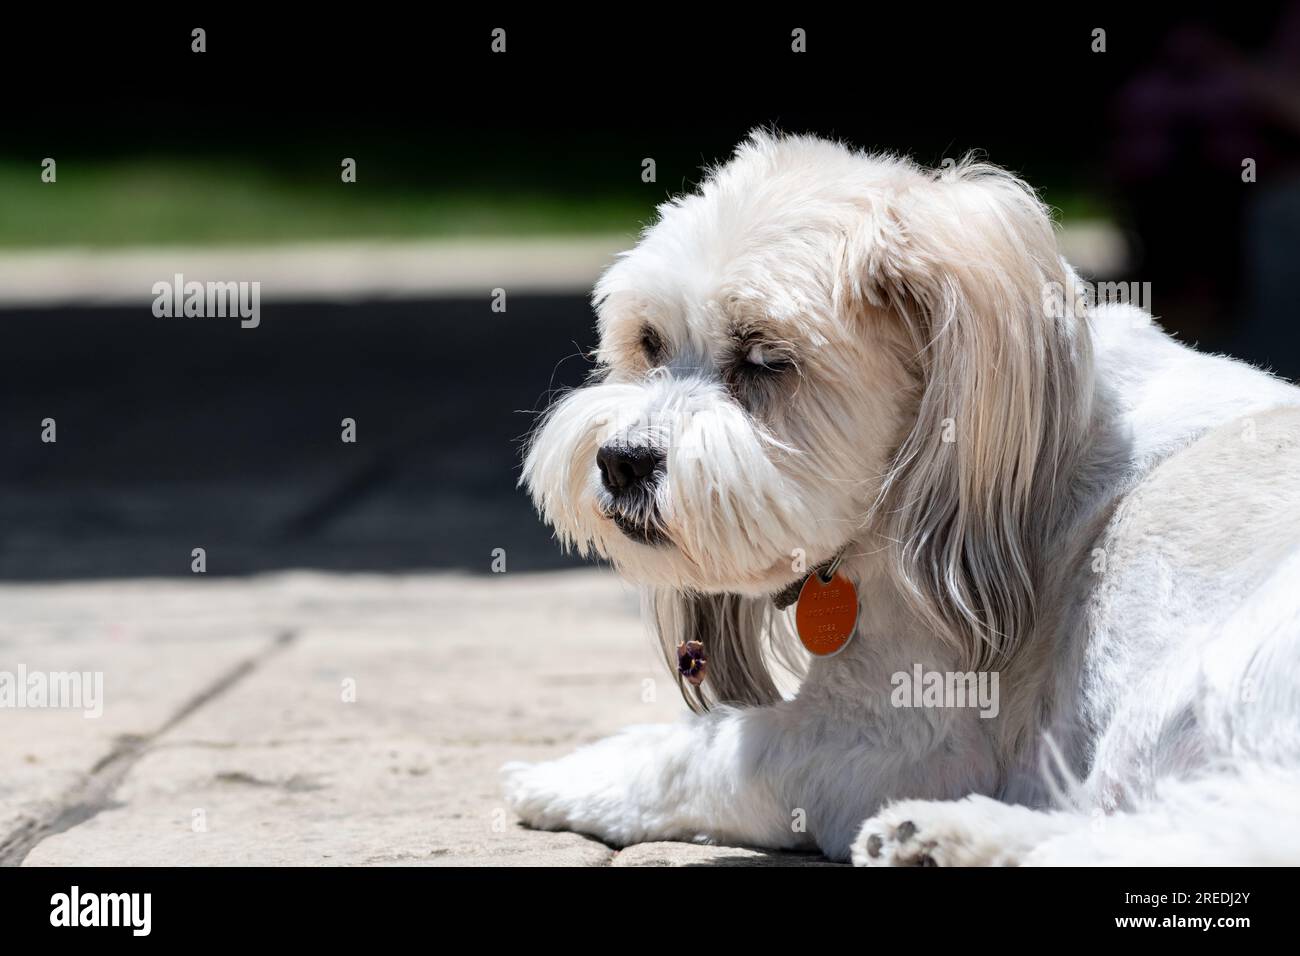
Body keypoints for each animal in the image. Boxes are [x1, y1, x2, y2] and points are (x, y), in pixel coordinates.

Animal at [501, 130, 1300, 863]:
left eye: (765, 359)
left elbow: (700, 752)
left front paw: (566, 775)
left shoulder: (895, 742)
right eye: (649, 343)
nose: (622, 461)